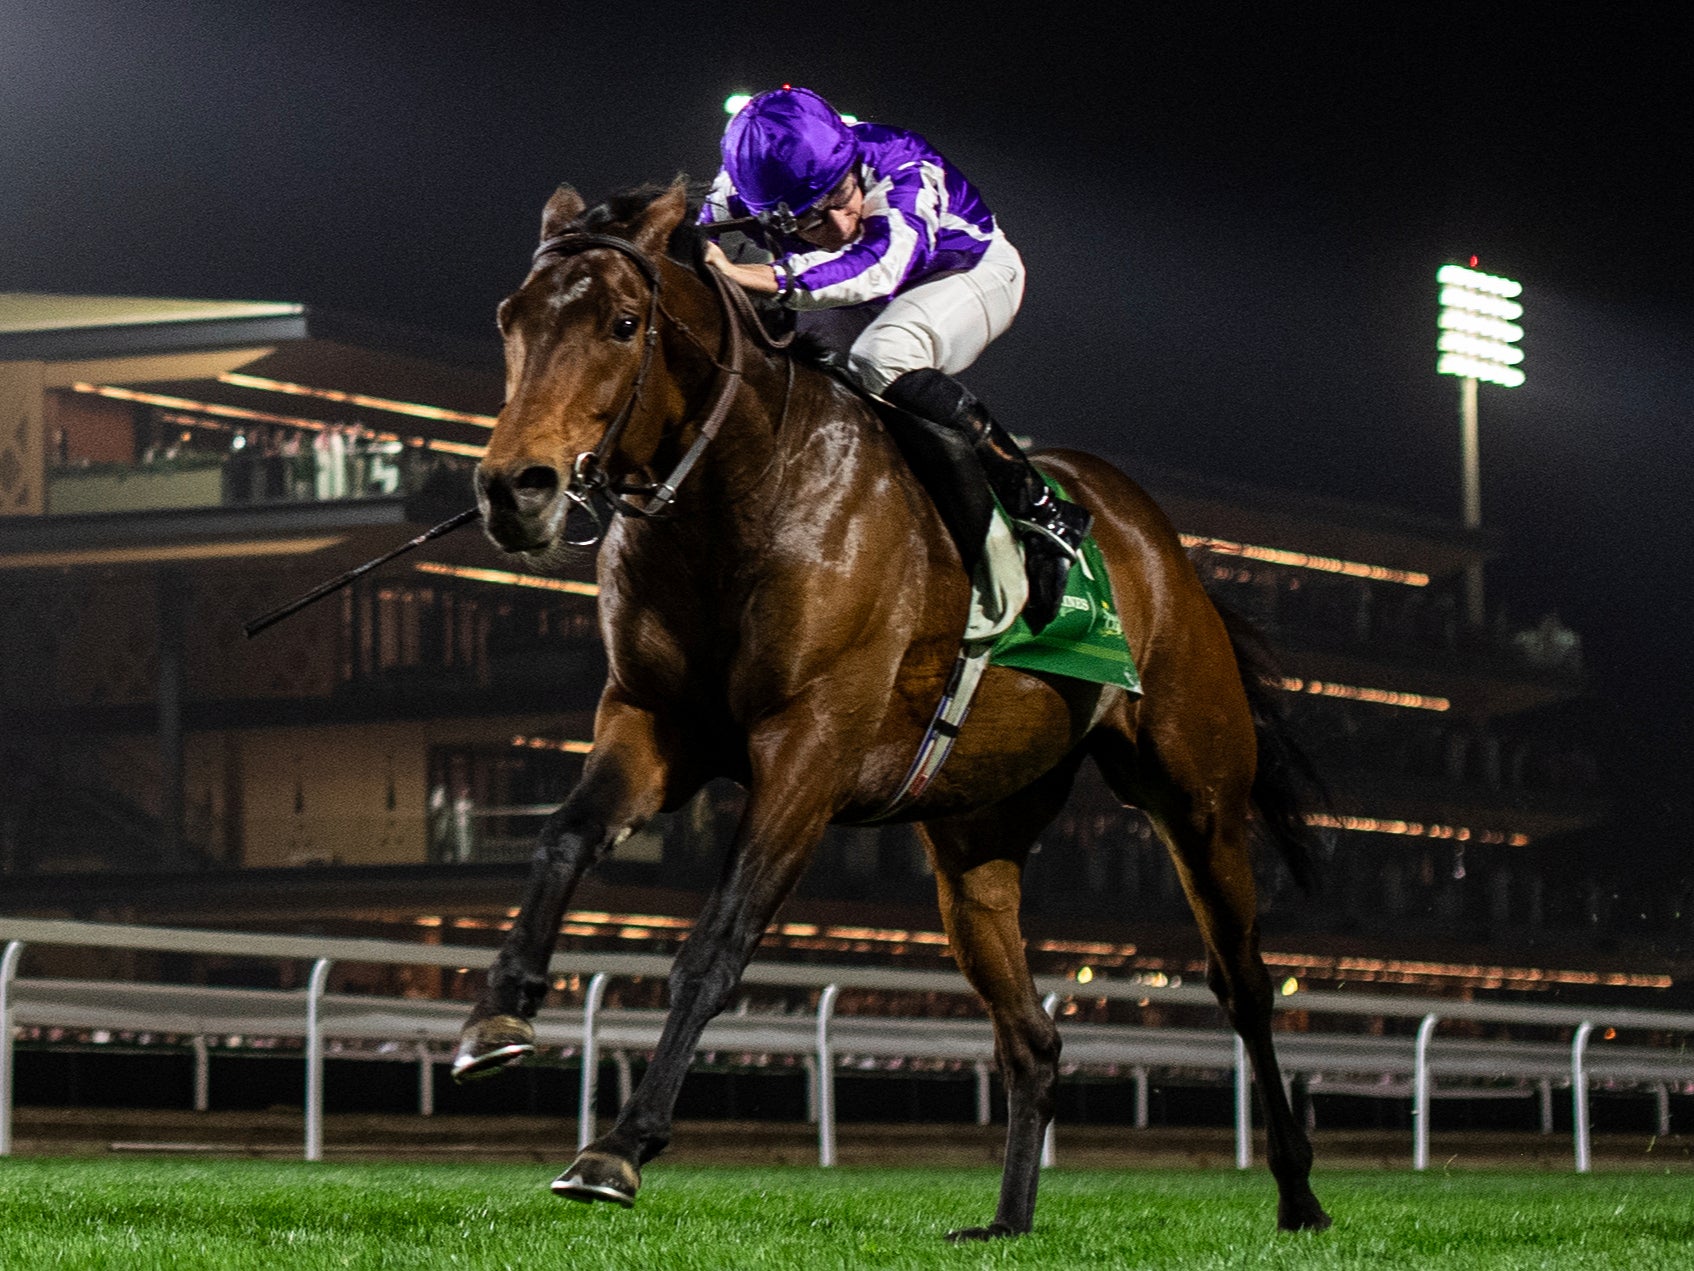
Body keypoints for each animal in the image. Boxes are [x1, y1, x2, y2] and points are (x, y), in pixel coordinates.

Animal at [457, 181, 1328, 1247]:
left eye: (624, 324)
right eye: (512, 319)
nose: (514, 489)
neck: (749, 491)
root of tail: (1165, 547)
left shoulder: (810, 748)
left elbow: (715, 945)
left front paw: (619, 1145)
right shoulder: (651, 721)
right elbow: (562, 838)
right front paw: (499, 1018)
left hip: (1196, 796)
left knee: (1242, 981)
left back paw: (1298, 1190)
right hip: (974, 841)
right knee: (1034, 1037)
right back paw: (1006, 1221)